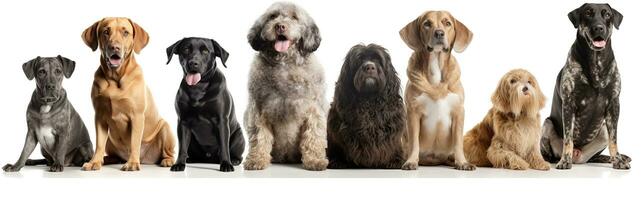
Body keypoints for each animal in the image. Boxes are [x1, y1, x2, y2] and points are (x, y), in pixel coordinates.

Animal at [80, 17, 175, 171]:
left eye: (125, 33)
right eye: (106, 31)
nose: (115, 47)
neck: (115, 78)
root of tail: (146, 159)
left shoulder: (136, 116)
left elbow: (134, 142)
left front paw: (132, 163)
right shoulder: (99, 117)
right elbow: (99, 144)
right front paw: (95, 161)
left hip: (165, 128)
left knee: (168, 151)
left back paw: (166, 160)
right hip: (110, 140)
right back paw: (106, 159)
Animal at [165, 37, 245, 172]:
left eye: (205, 51)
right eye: (186, 49)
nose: (193, 63)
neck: (198, 87)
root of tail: (209, 159)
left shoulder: (221, 121)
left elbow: (224, 145)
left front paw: (226, 164)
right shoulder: (183, 121)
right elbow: (182, 147)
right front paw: (179, 164)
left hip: (239, 136)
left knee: (237, 154)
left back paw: (234, 160)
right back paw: (190, 159)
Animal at [242, 1, 328, 170]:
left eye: (294, 17)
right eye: (273, 16)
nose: (280, 26)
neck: (285, 63)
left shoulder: (315, 110)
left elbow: (313, 136)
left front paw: (315, 160)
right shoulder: (257, 110)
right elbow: (259, 137)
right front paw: (257, 159)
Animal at [398, 10, 472, 170]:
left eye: (447, 23)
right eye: (427, 24)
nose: (439, 33)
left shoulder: (459, 112)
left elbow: (458, 142)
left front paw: (462, 162)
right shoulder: (413, 112)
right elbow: (414, 142)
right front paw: (411, 161)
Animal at [540, 3, 632, 170]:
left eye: (607, 14)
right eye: (588, 13)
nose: (599, 28)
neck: (596, 61)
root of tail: (579, 157)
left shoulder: (614, 104)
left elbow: (614, 139)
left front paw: (618, 160)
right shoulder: (569, 103)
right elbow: (568, 137)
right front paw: (565, 161)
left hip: (603, 130)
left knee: (597, 152)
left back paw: (612, 158)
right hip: (547, 124)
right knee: (549, 152)